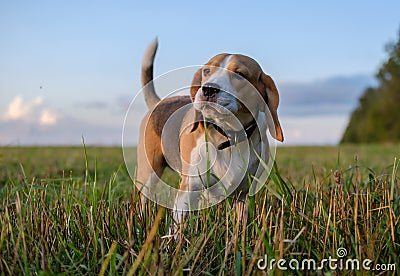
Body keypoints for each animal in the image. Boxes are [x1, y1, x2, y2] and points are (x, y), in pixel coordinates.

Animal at [136, 38, 282, 233]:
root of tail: (159, 102)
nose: (208, 90)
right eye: (206, 71)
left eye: (240, 74)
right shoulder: (188, 190)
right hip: (149, 174)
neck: (227, 137)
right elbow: (176, 228)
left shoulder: (244, 193)